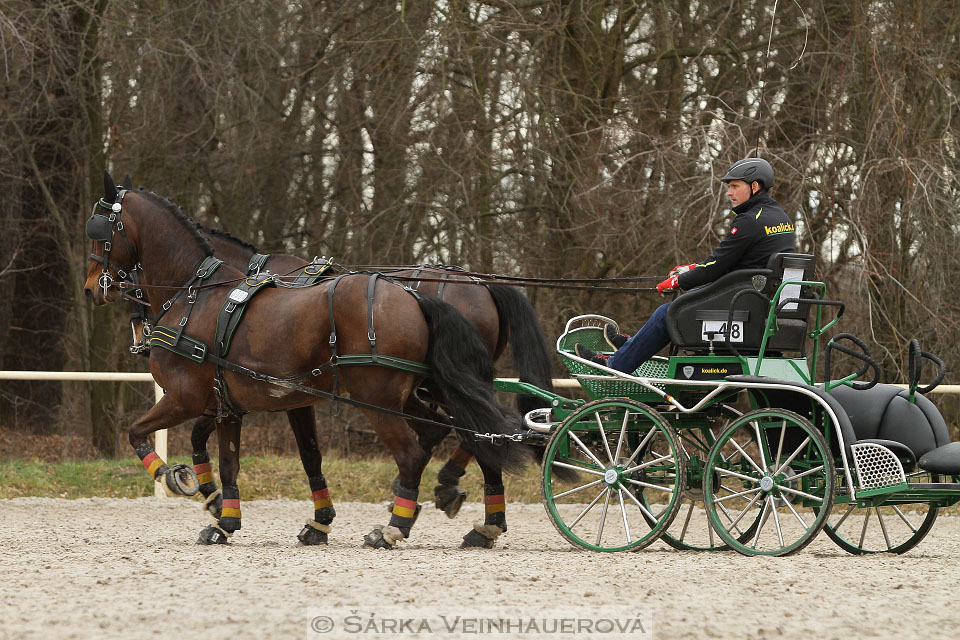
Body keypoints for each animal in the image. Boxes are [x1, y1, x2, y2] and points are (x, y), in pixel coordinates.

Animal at [80, 172, 532, 548]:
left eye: (100, 233)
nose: (91, 289)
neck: (199, 293)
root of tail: (416, 297)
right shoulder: (230, 405)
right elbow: (230, 461)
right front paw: (225, 516)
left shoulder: (187, 398)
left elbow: (136, 432)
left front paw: (176, 479)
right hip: (416, 392)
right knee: (463, 433)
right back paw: (473, 517)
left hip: (380, 397)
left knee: (415, 452)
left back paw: (397, 525)